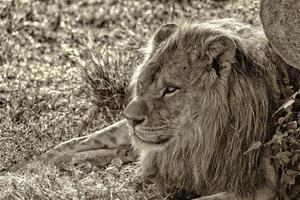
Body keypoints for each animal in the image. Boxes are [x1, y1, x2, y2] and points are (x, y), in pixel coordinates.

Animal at [13, 18, 300, 200]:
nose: (131, 118)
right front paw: (20, 175)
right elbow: (71, 143)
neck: (199, 141)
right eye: (142, 83)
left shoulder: (260, 187)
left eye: (170, 89)